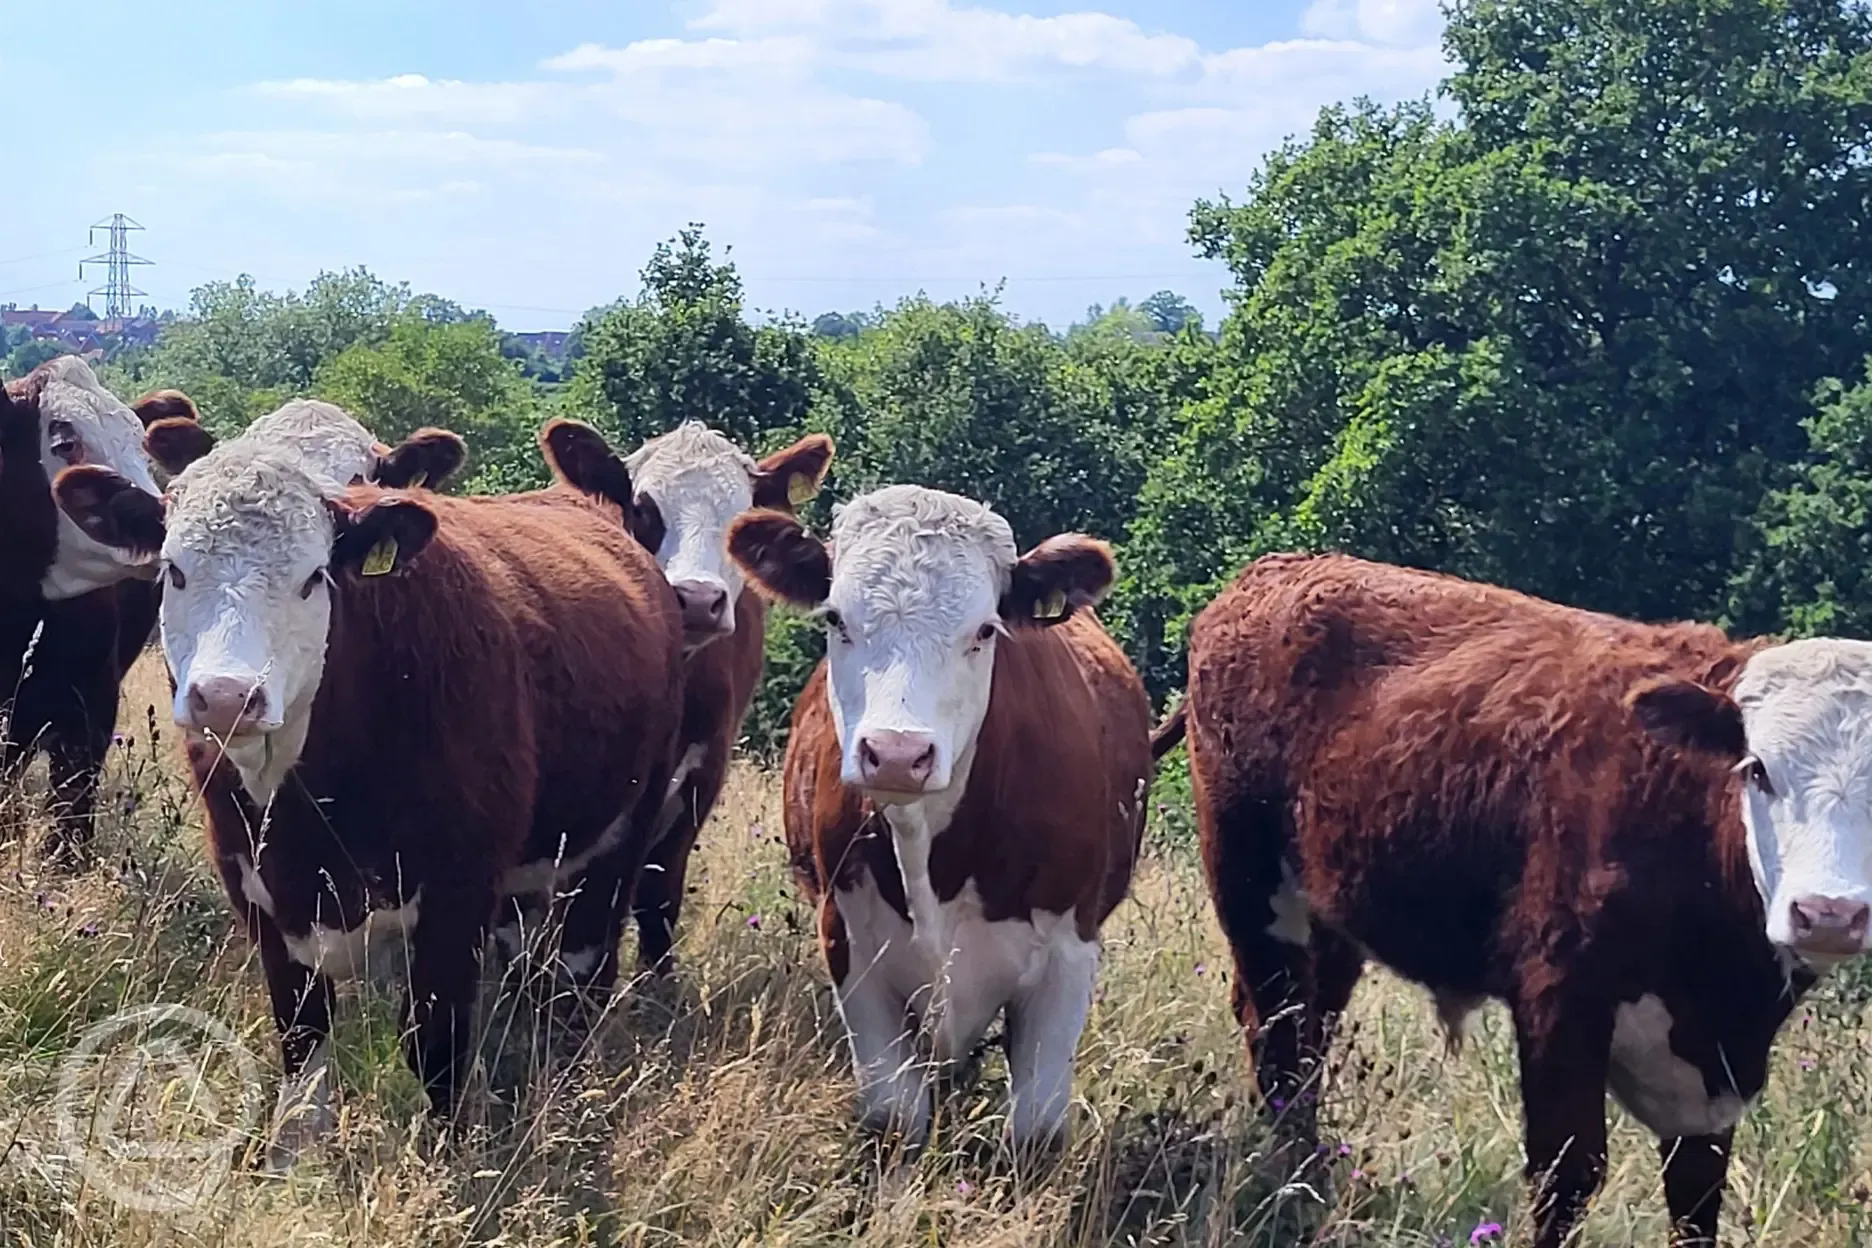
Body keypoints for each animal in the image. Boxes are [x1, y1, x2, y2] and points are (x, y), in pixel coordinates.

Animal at [56, 424, 688, 1167]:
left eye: (313, 578)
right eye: (175, 571)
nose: (227, 696)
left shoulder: (455, 895)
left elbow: (437, 1048)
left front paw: (443, 1164)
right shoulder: (259, 893)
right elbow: (302, 1040)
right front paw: (291, 1162)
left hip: (622, 840)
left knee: (583, 971)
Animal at [722, 482, 1145, 1145]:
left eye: (985, 630)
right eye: (836, 619)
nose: (897, 753)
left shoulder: (1069, 955)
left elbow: (1036, 1127)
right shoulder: (849, 948)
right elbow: (894, 1115)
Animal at [1175, 557, 1872, 1248]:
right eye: (1757, 769)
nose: (1828, 914)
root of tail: (1282, 568)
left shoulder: (1713, 1076)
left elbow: (1696, 1198)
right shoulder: (1560, 999)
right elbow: (1567, 1174)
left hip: (1331, 920)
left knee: (1308, 1035)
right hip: (1251, 885)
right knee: (1280, 1036)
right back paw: (1291, 1188)